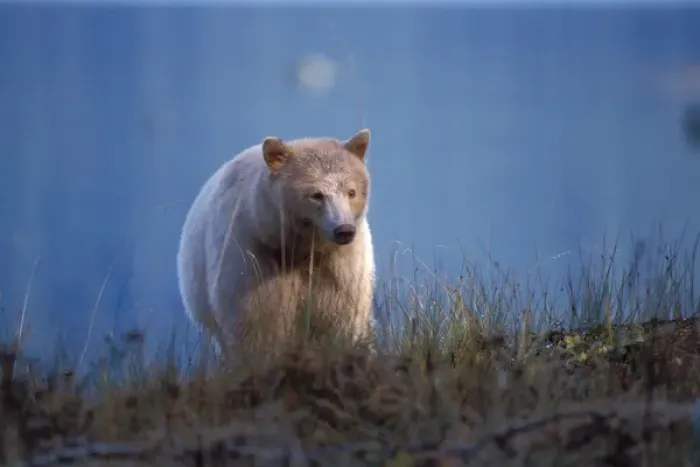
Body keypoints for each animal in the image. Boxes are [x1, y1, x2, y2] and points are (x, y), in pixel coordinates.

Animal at [176, 129, 376, 360]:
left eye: (351, 192)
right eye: (316, 195)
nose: (344, 230)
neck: (300, 248)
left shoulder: (340, 264)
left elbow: (341, 315)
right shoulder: (251, 250)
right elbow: (256, 318)